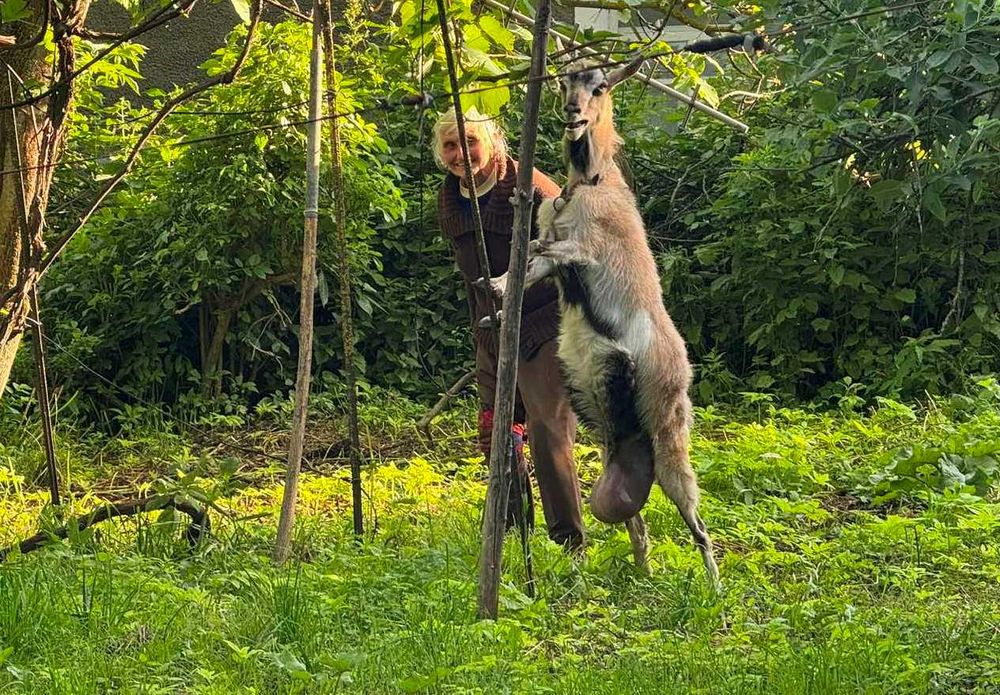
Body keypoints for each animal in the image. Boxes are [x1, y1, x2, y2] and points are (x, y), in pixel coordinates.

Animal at [493, 58, 719, 586]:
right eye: (564, 81)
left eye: (601, 86)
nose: (573, 114)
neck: (592, 182)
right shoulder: (553, 253)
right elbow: (530, 263)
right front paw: (496, 290)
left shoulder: (584, 248)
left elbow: (547, 250)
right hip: (604, 424)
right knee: (635, 516)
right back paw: (644, 570)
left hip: (668, 432)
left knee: (697, 523)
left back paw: (715, 589)